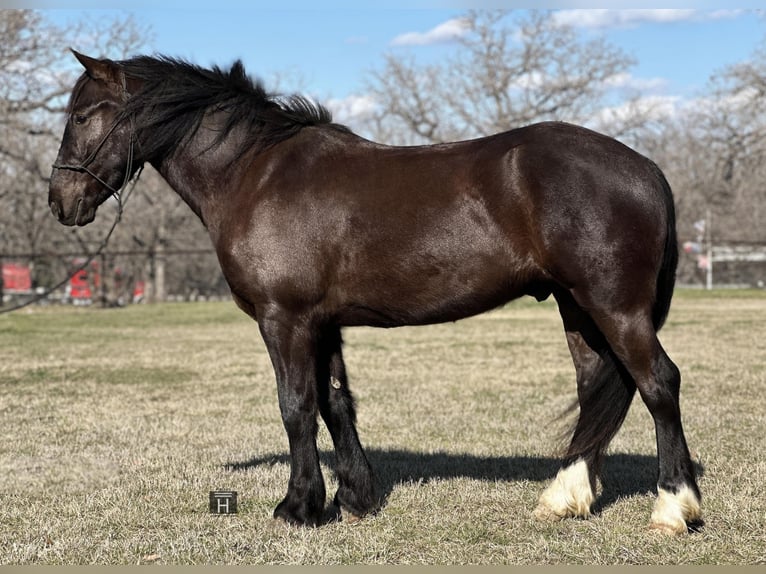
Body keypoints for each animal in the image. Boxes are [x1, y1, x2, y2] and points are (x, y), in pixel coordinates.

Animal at [48, 51, 704, 536]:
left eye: (81, 115)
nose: (60, 202)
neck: (257, 173)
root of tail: (646, 168)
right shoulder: (323, 323)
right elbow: (336, 403)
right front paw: (354, 499)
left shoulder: (284, 319)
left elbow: (296, 406)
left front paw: (298, 508)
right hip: (578, 309)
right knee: (597, 387)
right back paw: (564, 498)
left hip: (615, 308)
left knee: (657, 383)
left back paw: (674, 507)